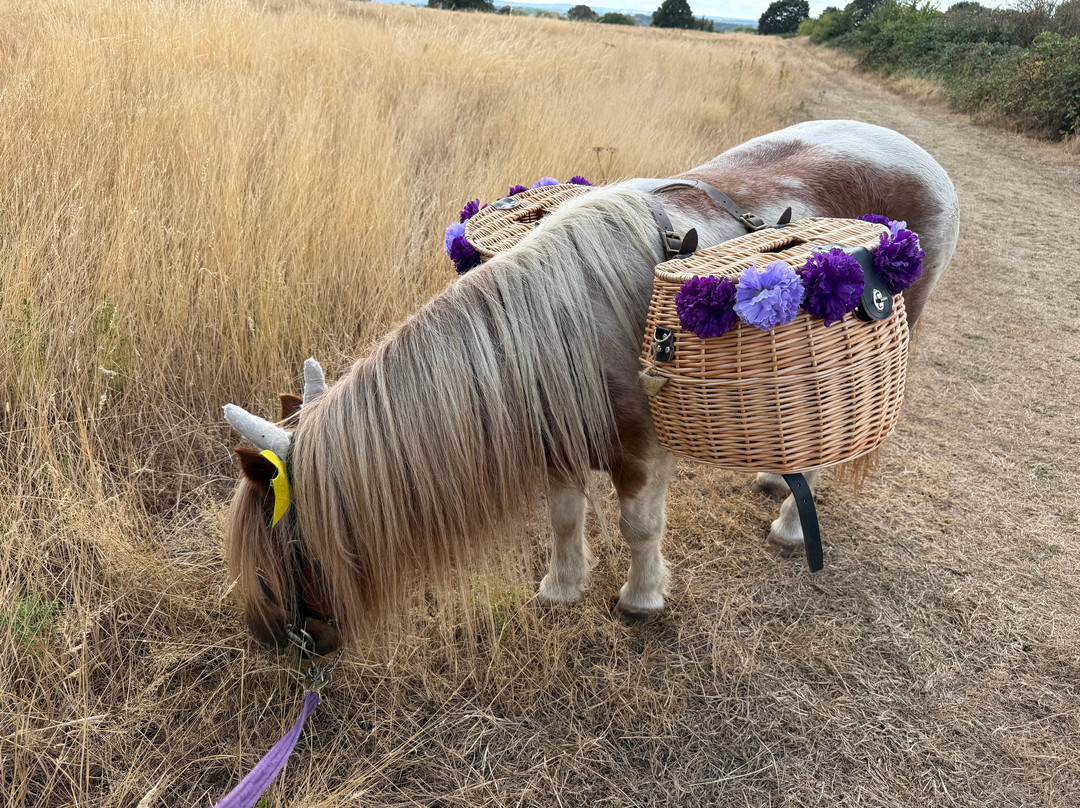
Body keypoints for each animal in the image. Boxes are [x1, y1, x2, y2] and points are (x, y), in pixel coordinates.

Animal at [223, 119, 960, 656]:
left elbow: (640, 527)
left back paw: (788, 523)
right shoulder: (556, 441)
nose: (278, 646)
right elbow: (564, 516)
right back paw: (779, 477)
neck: (563, 323)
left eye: (268, 568)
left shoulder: (642, 453)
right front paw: (562, 587)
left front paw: (641, 599)